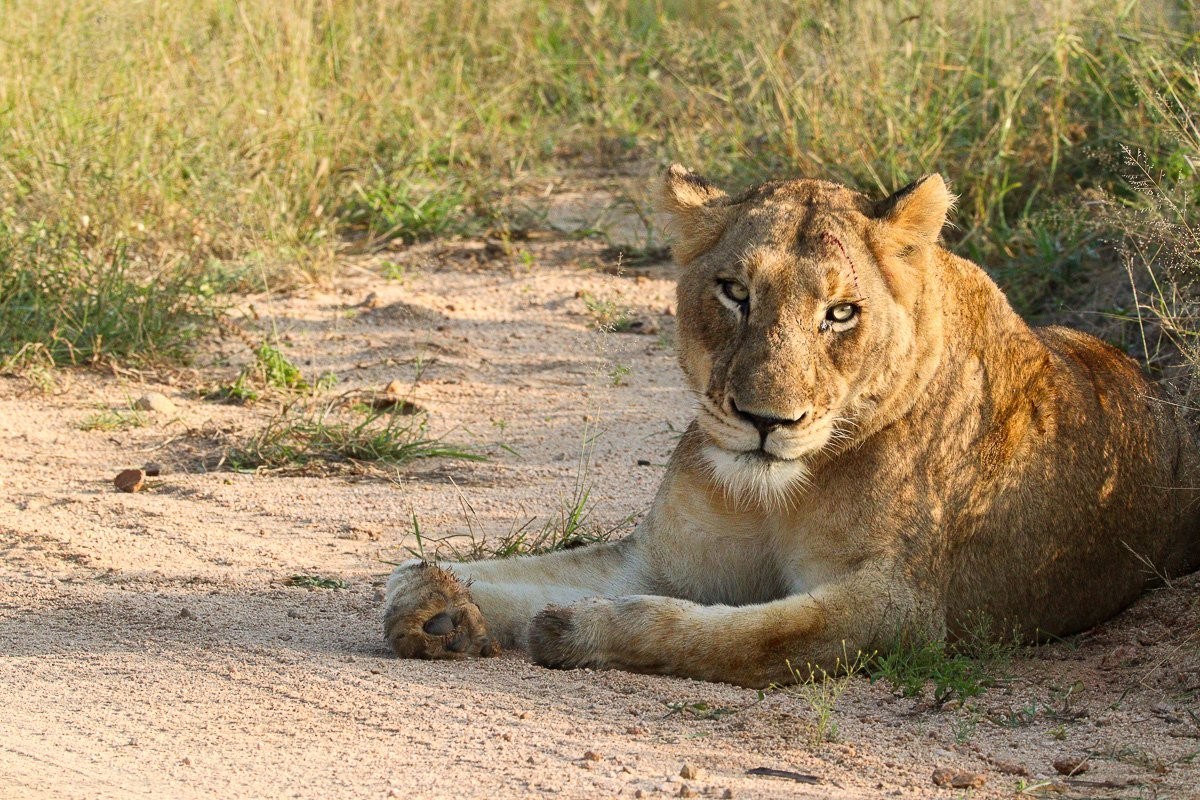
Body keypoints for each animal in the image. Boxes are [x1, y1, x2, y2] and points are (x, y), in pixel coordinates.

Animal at [382, 165, 1200, 688]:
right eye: (734, 292)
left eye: (840, 313)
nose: (764, 421)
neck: (774, 495)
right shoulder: (660, 560)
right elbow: (515, 572)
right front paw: (434, 605)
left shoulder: (900, 611)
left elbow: (733, 635)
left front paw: (577, 633)